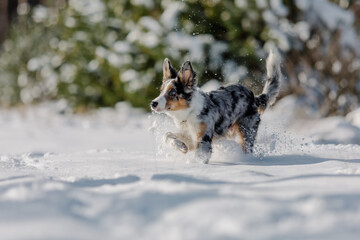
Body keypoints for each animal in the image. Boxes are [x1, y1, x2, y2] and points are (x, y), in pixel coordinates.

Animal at [149, 50, 282, 163]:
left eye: (172, 93)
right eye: (161, 91)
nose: (153, 103)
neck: (189, 113)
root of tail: (254, 97)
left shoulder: (204, 139)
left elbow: (200, 157)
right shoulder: (190, 136)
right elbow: (166, 135)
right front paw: (181, 147)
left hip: (246, 131)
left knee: (247, 149)